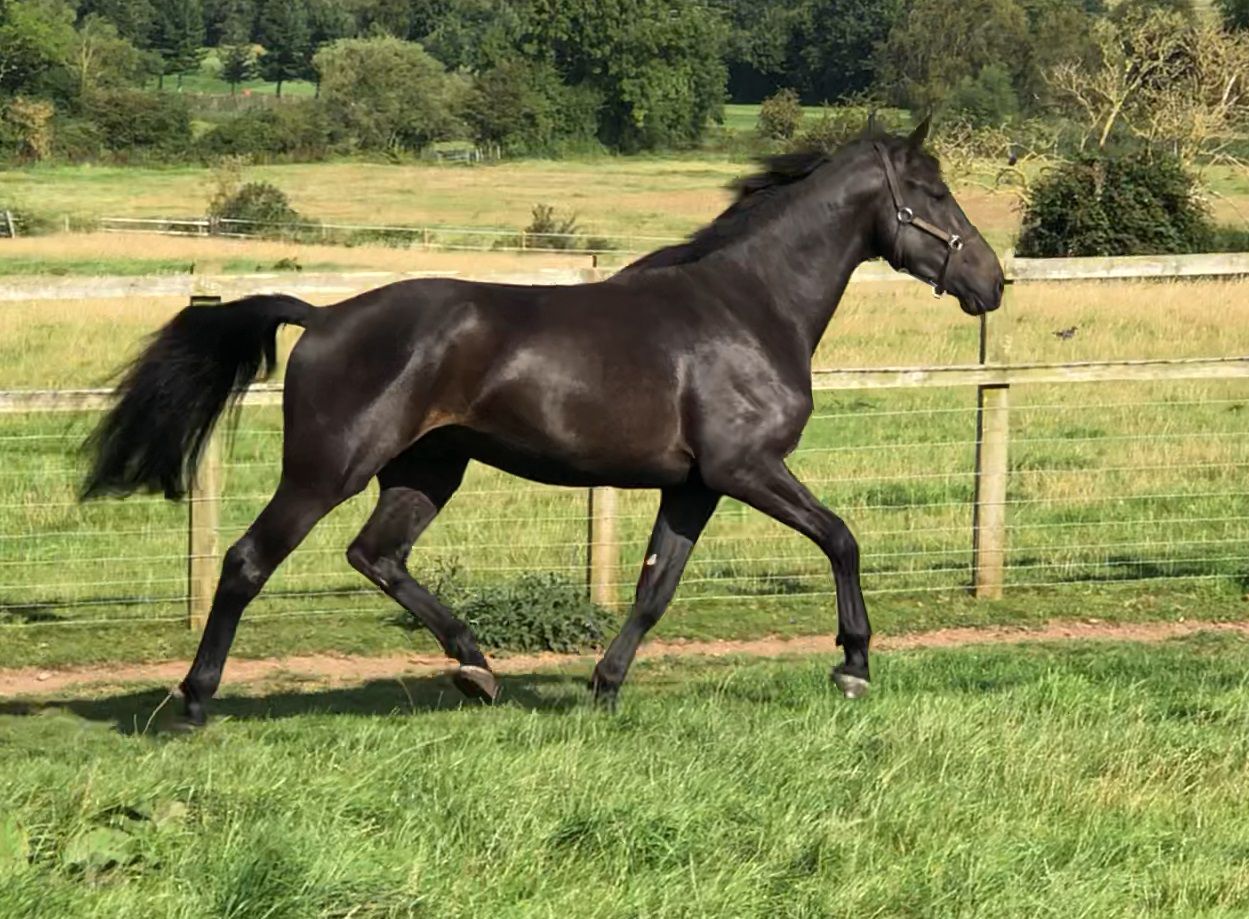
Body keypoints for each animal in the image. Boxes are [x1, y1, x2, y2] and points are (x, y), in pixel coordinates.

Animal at [81, 120, 1004, 724]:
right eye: (932, 193)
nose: (991, 282)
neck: (748, 305)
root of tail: (325, 315)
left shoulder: (696, 486)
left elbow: (655, 588)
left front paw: (604, 685)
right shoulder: (747, 468)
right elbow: (841, 536)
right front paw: (852, 664)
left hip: (428, 469)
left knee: (376, 555)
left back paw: (477, 667)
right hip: (327, 469)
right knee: (247, 561)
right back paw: (196, 701)